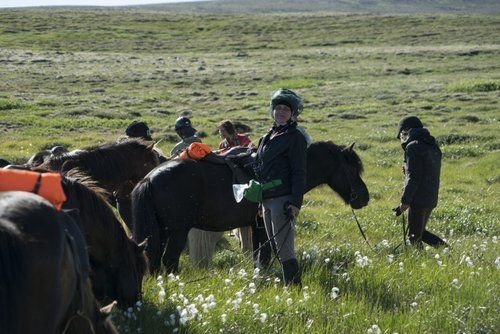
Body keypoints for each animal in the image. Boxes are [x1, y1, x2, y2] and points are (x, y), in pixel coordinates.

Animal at [133, 141, 372, 274]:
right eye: (352, 170)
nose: (364, 197)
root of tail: (149, 179)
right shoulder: (262, 225)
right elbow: (264, 256)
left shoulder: (255, 226)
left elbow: (258, 257)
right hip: (177, 230)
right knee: (169, 261)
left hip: (161, 231)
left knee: (154, 260)